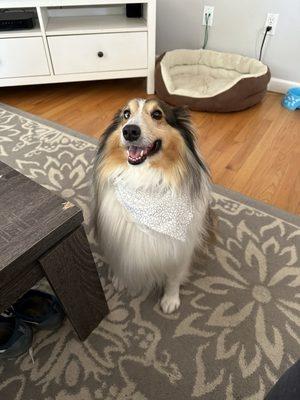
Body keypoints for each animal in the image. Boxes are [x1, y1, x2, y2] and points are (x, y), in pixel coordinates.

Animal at [92, 98, 212, 314]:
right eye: (126, 114)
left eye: (157, 114)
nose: (130, 131)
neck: (143, 181)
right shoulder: (117, 238)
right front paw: (120, 278)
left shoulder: (179, 249)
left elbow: (173, 276)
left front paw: (170, 300)